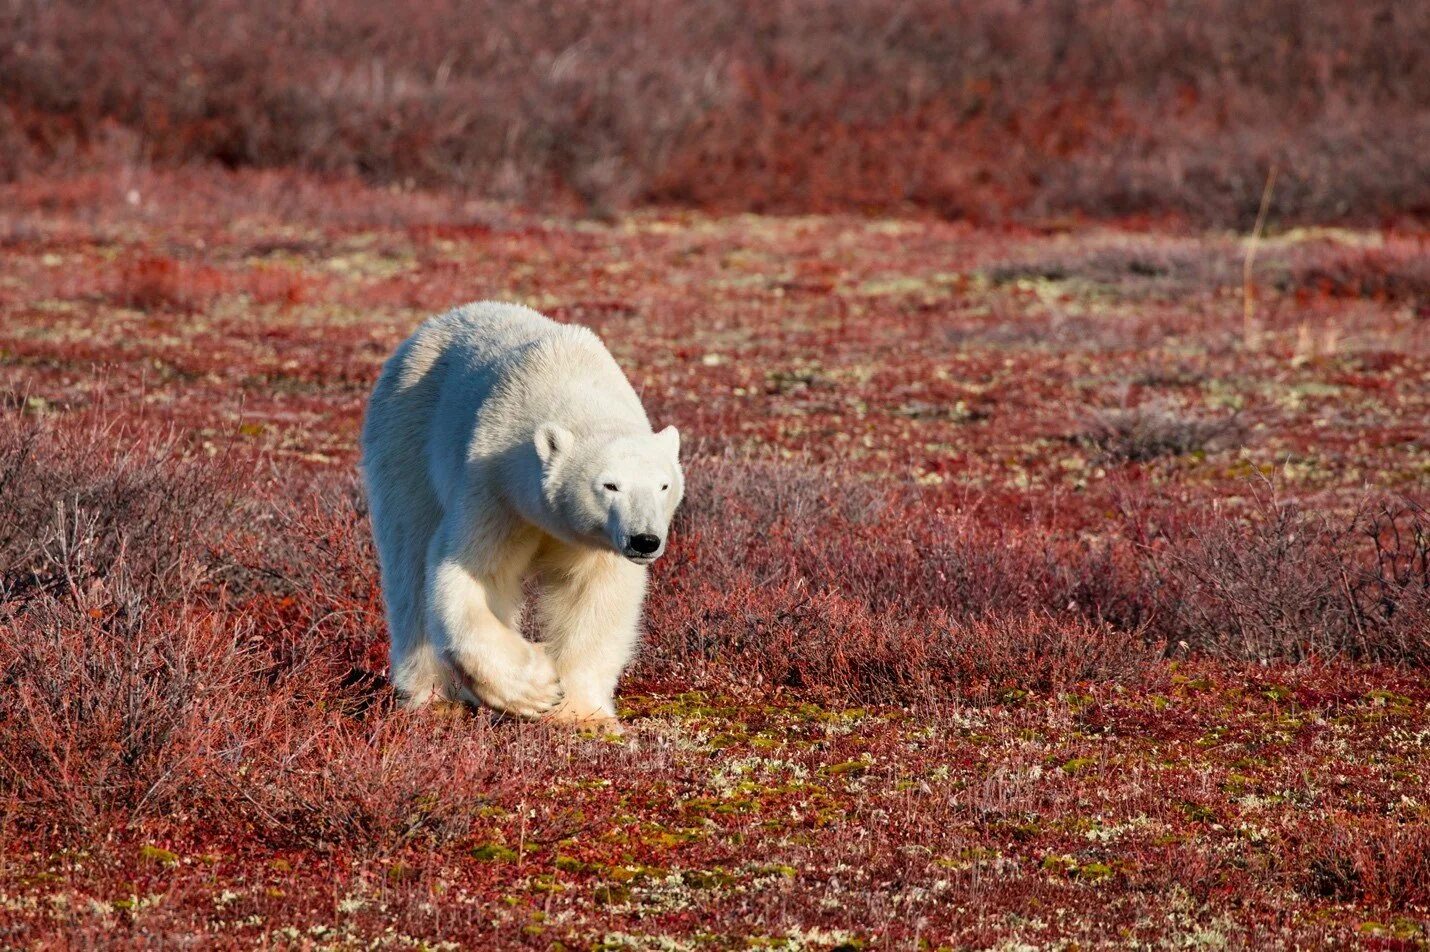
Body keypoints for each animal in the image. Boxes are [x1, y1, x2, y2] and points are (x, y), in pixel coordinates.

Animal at [363, 300, 686, 723]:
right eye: (610, 485)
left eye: (663, 486)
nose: (645, 540)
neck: (569, 382)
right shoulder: (495, 488)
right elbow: (477, 574)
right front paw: (535, 689)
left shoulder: (596, 542)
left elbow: (595, 594)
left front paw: (581, 712)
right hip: (406, 433)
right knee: (409, 557)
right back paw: (432, 696)